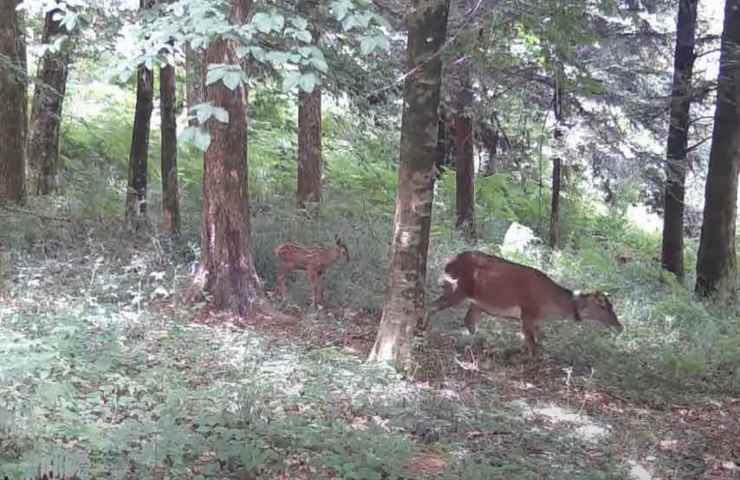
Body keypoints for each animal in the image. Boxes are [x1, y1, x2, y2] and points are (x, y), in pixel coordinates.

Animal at [428, 251, 624, 356]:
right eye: (603, 305)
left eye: (612, 305)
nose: (620, 327)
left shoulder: (535, 320)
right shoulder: (528, 312)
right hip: (457, 289)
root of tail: (449, 263)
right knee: (433, 306)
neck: (550, 308)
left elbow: (537, 341)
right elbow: (532, 345)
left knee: (469, 321)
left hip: (476, 302)